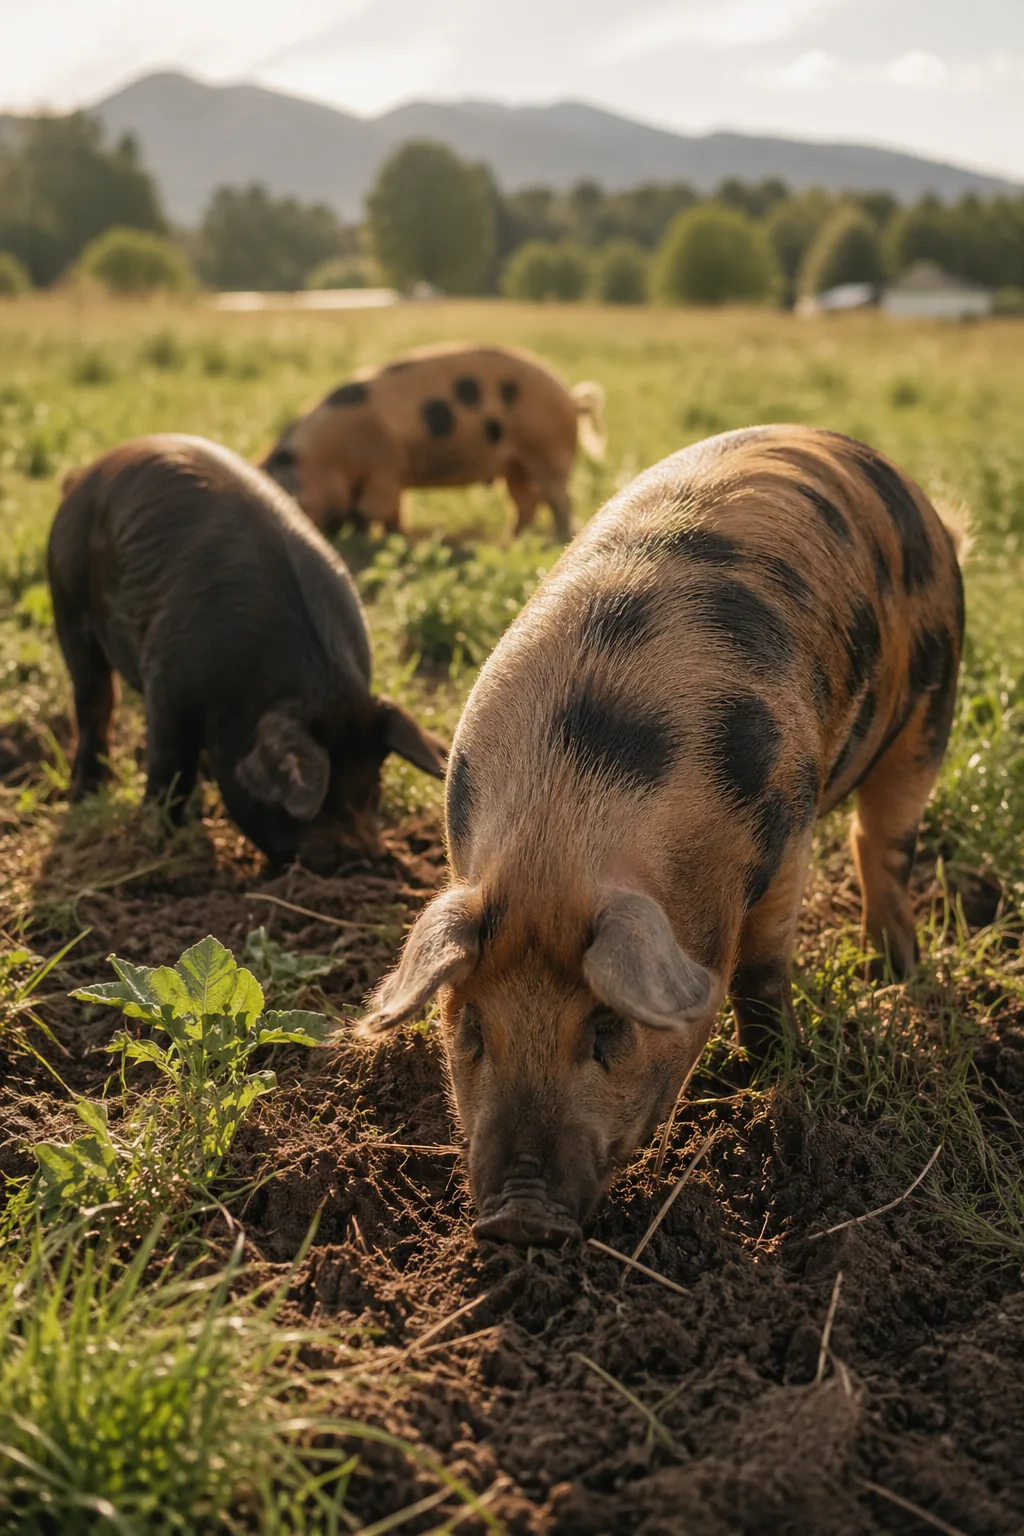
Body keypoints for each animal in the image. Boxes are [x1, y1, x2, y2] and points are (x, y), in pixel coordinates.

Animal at [47, 434, 447, 869]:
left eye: (373, 786)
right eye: (321, 800)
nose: (358, 860)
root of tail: (83, 476)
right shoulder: (166, 681)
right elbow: (170, 764)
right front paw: (154, 835)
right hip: (67, 603)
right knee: (94, 701)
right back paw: (85, 793)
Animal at [260, 343, 606, 540]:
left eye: (292, 498)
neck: (325, 457)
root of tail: (572, 399)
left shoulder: (384, 467)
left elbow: (371, 509)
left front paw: (367, 540)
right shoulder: (393, 474)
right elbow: (392, 511)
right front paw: (395, 536)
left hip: (547, 449)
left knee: (559, 497)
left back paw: (557, 537)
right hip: (515, 464)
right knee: (527, 501)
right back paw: (513, 540)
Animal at [358, 425, 966, 1244]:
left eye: (608, 1027)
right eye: (472, 1029)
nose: (520, 1217)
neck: (566, 822)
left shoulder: (788, 832)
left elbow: (759, 969)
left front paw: (781, 1073)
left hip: (934, 697)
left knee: (884, 841)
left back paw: (896, 970)